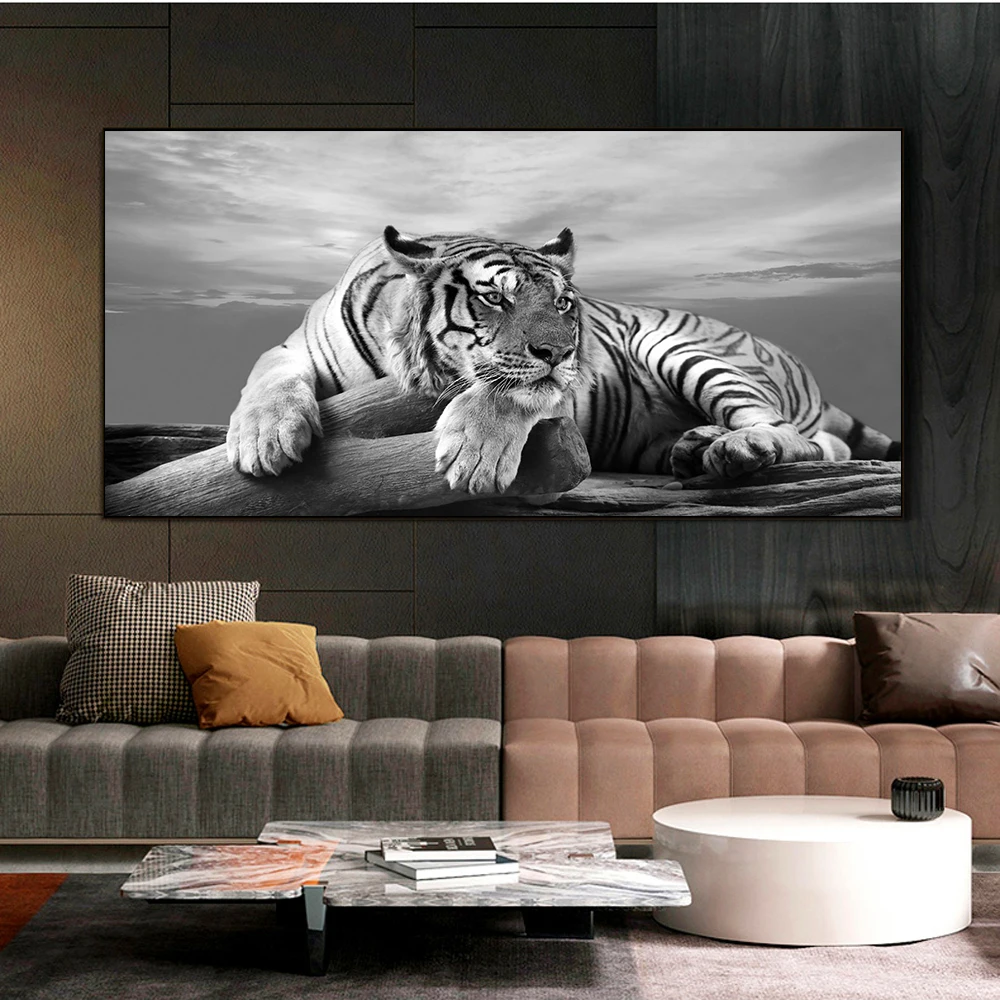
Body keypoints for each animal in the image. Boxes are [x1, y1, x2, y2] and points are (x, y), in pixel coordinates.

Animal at [226, 227, 900, 495]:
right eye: (493, 297)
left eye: (562, 303)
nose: (560, 349)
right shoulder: (293, 348)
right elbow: (267, 376)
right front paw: (264, 439)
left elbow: (506, 392)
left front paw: (474, 456)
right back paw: (696, 446)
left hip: (680, 347)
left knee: (800, 438)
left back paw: (737, 448)